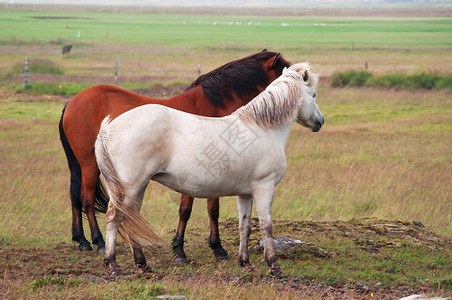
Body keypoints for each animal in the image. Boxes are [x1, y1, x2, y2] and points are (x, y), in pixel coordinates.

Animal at [58, 49, 290, 264]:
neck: (212, 107)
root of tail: (73, 101)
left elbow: (213, 210)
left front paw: (217, 247)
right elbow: (186, 210)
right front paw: (180, 250)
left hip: (81, 165)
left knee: (75, 197)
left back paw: (82, 240)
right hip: (90, 164)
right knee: (86, 199)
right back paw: (98, 242)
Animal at [93, 62, 324, 278]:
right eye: (313, 94)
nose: (320, 122)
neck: (262, 128)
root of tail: (108, 129)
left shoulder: (245, 194)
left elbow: (245, 226)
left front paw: (245, 263)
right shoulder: (264, 188)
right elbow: (267, 227)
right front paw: (274, 266)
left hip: (137, 187)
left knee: (130, 218)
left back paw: (143, 265)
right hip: (130, 187)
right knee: (115, 217)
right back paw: (112, 264)